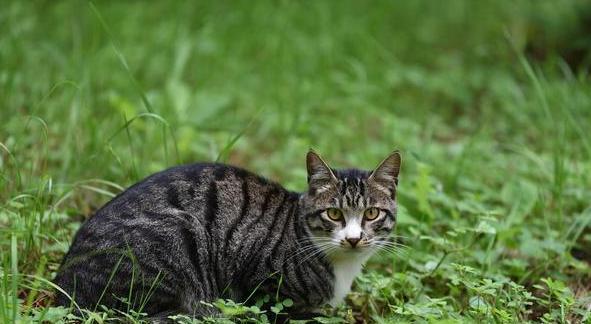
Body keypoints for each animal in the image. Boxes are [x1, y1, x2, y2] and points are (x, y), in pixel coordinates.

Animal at [54, 150, 402, 322]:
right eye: (334, 214)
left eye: (371, 213)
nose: (353, 238)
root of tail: (62, 288)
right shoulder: (261, 285)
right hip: (177, 238)